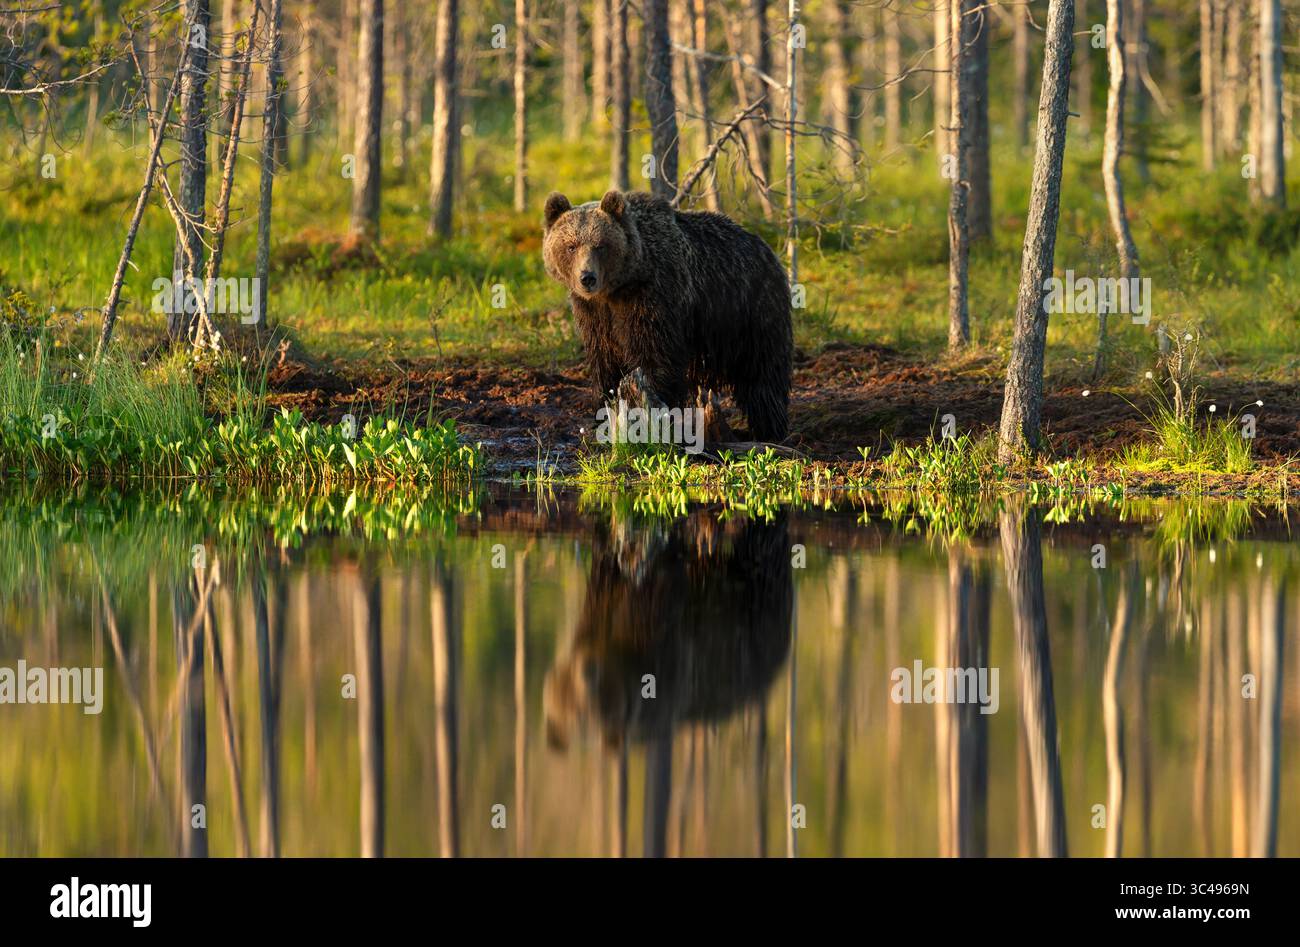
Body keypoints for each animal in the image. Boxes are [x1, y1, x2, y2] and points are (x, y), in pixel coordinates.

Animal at [542, 189, 793, 441]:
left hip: (751, 311)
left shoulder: (654, 296)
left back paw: (770, 427)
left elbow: (654, 355)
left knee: (763, 372)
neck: (620, 287)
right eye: (571, 246)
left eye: (601, 245)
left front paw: (652, 412)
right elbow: (604, 358)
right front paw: (604, 410)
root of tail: (767, 249)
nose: (587, 278)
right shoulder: (594, 313)